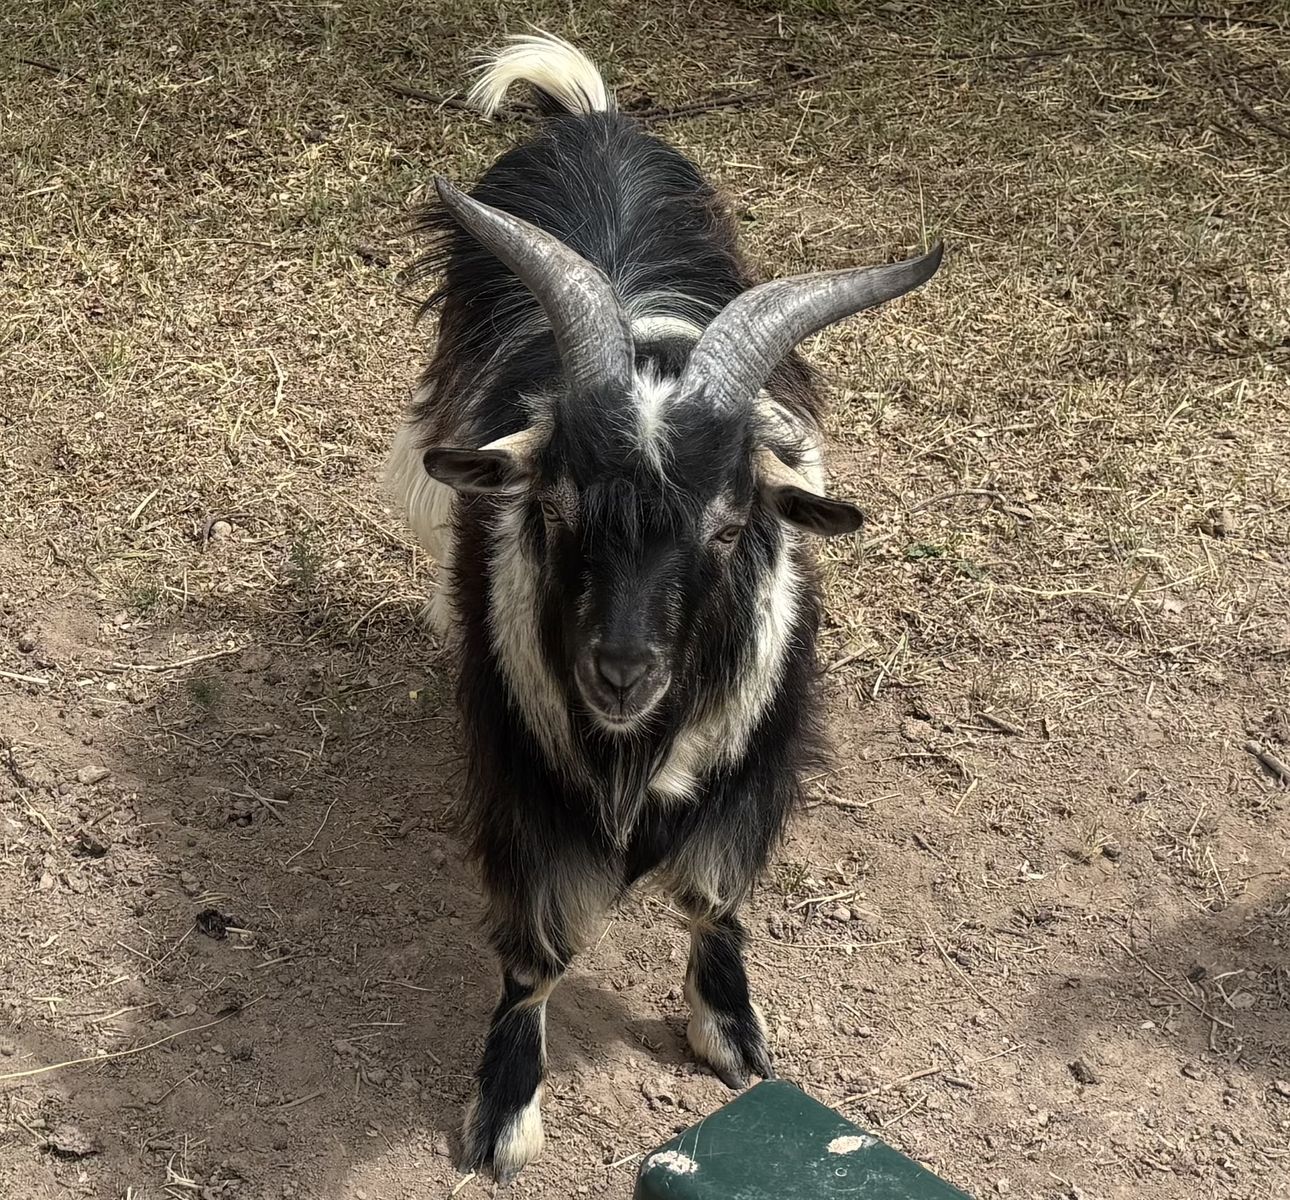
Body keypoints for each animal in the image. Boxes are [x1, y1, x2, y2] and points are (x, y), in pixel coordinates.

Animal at [385, 32, 942, 1184]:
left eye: (728, 528)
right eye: (554, 508)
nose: (621, 671)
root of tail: (594, 120)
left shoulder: (753, 754)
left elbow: (709, 896)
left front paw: (730, 1033)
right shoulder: (523, 776)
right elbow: (536, 949)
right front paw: (503, 1115)